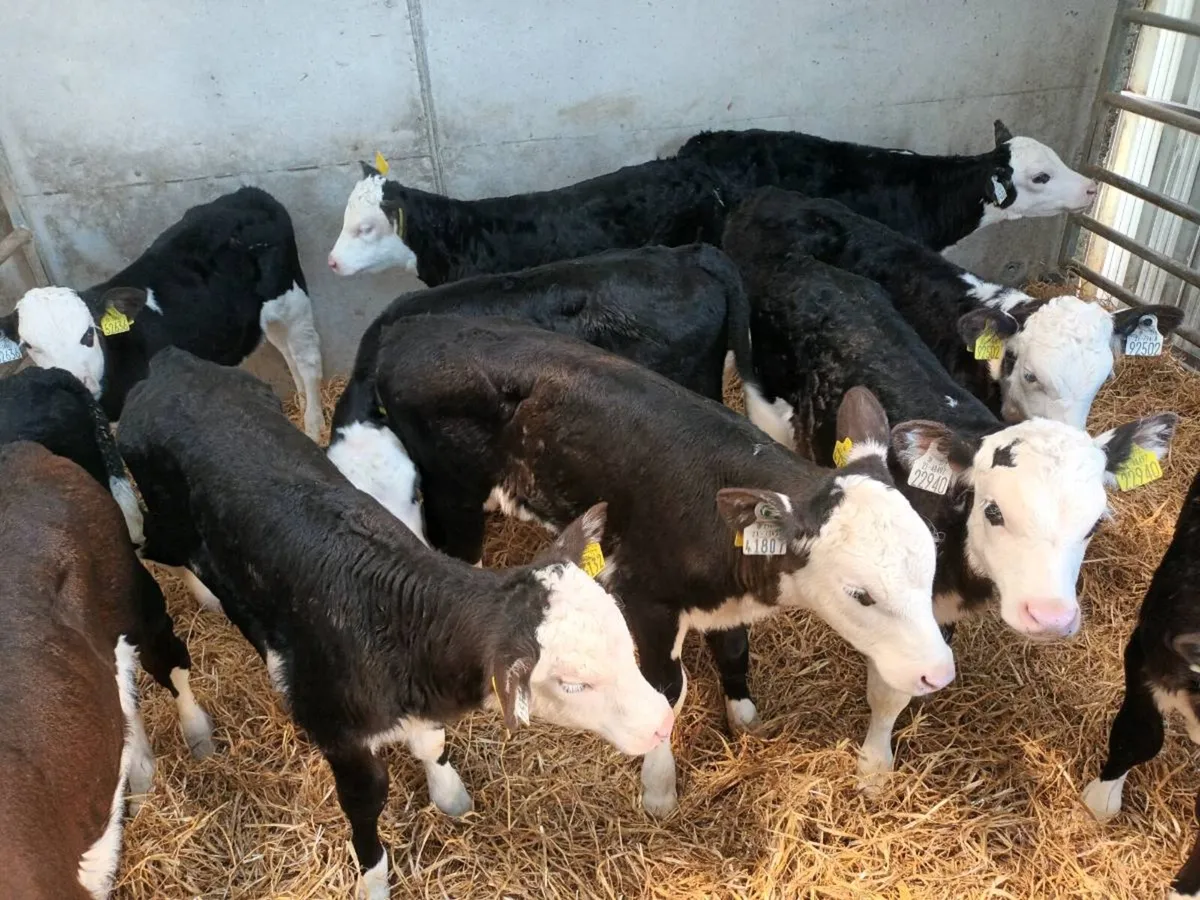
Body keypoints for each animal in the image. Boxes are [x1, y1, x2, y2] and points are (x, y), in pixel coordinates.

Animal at [0, 187, 325, 440]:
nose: (77, 382)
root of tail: (249, 193)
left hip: (292, 299)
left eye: (88, 334)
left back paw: (314, 425)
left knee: (307, 360)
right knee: (287, 352)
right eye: (29, 346)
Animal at [116, 348, 675, 900]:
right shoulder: (339, 734)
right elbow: (366, 806)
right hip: (165, 529)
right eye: (574, 683)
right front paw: (374, 880)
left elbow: (432, 744)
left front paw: (448, 792)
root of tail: (170, 364)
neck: (393, 621)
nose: (663, 722)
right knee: (161, 608)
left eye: (626, 646)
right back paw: (194, 716)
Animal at [367, 313, 954, 817]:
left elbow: (734, 650)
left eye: (931, 563)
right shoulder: (644, 601)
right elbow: (667, 692)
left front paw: (744, 716)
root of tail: (407, 331)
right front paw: (659, 789)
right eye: (861, 593)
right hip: (454, 497)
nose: (939, 672)